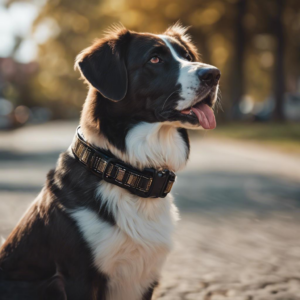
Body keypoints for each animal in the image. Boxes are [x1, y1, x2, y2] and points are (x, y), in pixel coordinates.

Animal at [0, 24, 220, 300]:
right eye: (155, 59)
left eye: (188, 56)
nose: (214, 74)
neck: (128, 172)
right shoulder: (78, 277)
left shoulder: (146, 279)